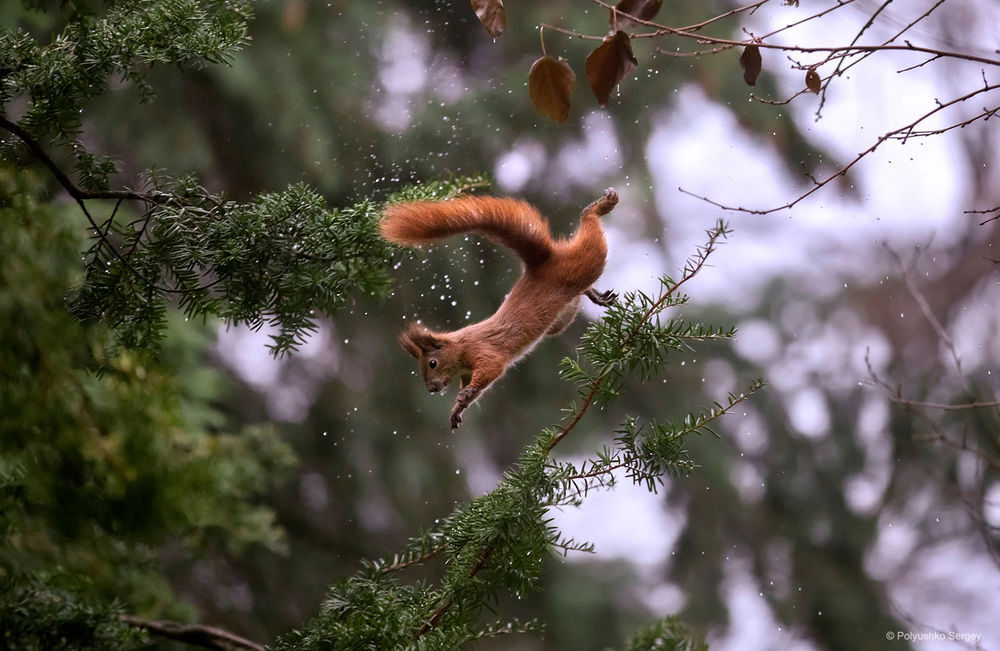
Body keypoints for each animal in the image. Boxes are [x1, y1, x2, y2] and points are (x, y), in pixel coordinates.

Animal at [380, 187, 616, 432]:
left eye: (432, 363)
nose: (431, 389)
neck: (460, 348)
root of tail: (540, 264)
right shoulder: (466, 372)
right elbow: (476, 391)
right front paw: (457, 410)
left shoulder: (483, 351)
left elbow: (490, 370)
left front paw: (464, 395)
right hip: (561, 316)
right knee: (579, 295)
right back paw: (597, 295)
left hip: (582, 266)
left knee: (591, 238)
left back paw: (599, 207)